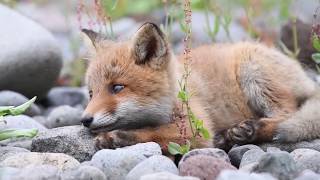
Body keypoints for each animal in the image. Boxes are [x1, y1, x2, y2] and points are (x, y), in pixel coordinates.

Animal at [80, 22, 320, 152]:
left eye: (117, 87)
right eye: (91, 93)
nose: (84, 120)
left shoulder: (197, 126)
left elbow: (154, 132)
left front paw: (117, 137)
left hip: (253, 72)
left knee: (288, 115)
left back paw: (250, 130)